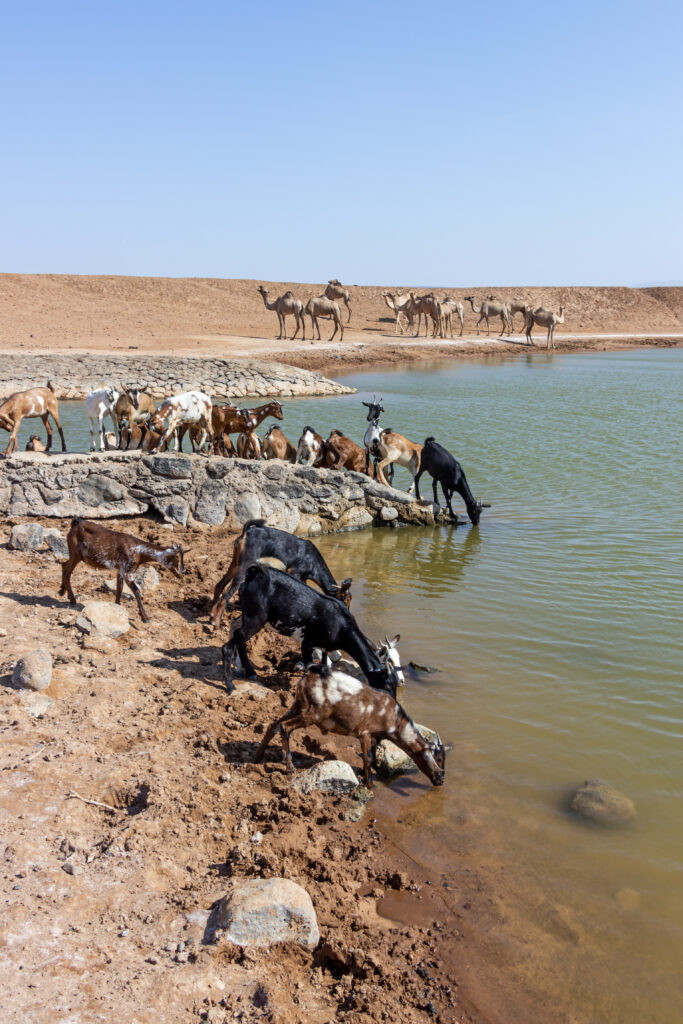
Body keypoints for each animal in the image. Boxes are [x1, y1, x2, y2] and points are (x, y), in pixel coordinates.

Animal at [210, 524, 352, 626]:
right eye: (344, 600)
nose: (348, 617)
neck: (313, 561)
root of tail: (246, 533)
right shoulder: (295, 572)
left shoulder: (302, 577)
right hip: (244, 567)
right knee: (226, 595)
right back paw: (216, 623)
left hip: (235, 564)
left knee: (219, 585)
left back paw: (211, 614)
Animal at [222, 561, 397, 696]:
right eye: (386, 685)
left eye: (395, 686)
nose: (392, 700)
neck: (342, 625)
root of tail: (254, 573)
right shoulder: (307, 643)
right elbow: (307, 668)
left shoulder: (325, 647)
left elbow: (326, 667)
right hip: (255, 619)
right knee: (228, 647)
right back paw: (230, 686)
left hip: (250, 616)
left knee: (236, 631)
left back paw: (248, 671)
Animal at [253, 655, 446, 790]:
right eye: (438, 758)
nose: (441, 780)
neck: (395, 719)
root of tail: (310, 672)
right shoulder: (365, 733)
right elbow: (368, 759)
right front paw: (370, 784)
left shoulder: (375, 738)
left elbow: (372, 759)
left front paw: (366, 776)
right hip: (314, 714)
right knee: (285, 727)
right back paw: (290, 767)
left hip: (298, 705)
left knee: (273, 725)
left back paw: (257, 757)